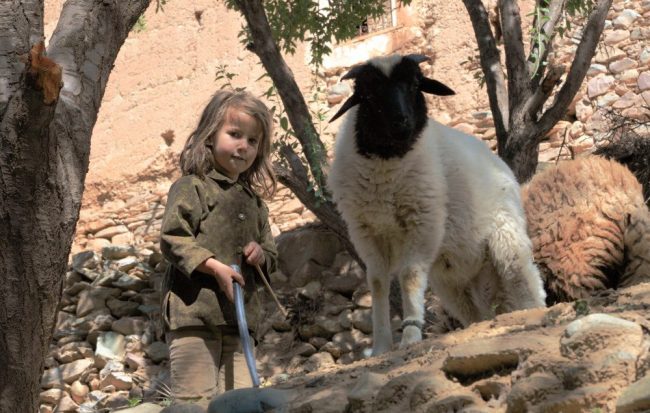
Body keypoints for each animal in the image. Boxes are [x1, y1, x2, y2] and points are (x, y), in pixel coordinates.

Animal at [326, 54, 544, 356]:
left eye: (415, 84)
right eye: (368, 93)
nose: (401, 122)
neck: (386, 163)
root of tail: (500, 164)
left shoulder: (422, 223)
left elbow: (409, 277)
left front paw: (410, 336)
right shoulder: (365, 231)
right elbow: (378, 283)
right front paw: (381, 346)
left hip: (506, 239)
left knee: (523, 281)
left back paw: (532, 312)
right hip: (455, 278)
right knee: (475, 310)